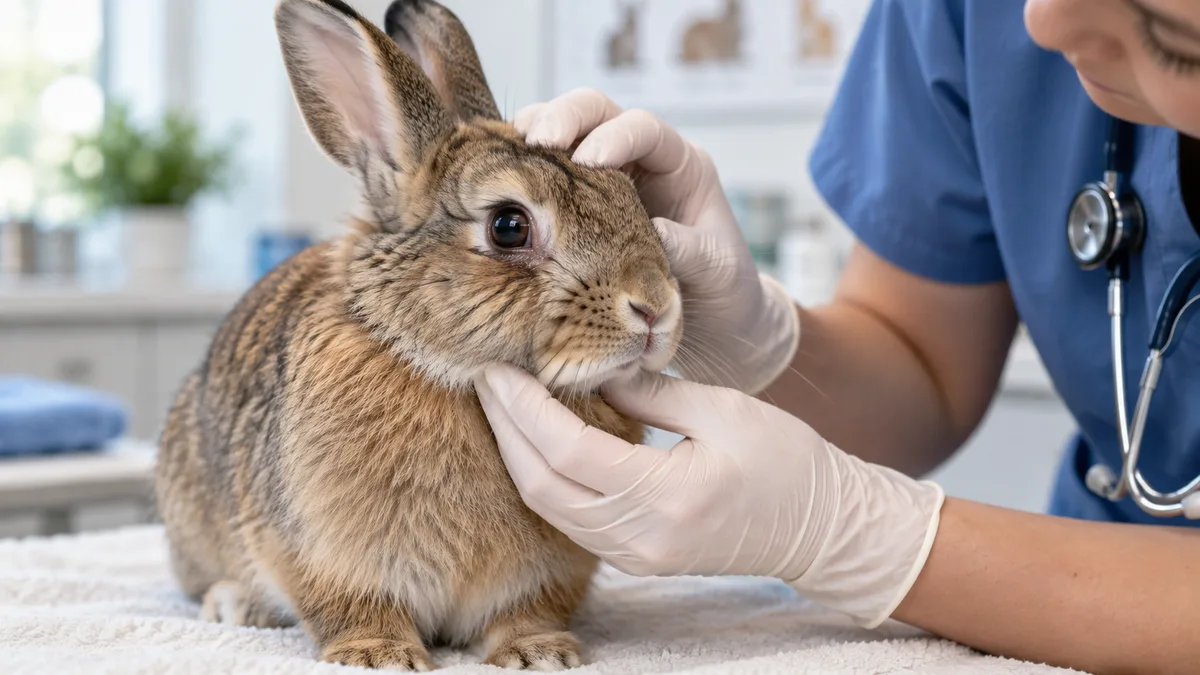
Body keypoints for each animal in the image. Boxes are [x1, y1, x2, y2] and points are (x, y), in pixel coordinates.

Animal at [152, 0, 683, 670]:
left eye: (629, 194)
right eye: (509, 226)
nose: (656, 308)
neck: (444, 372)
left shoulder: (544, 576)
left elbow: (524, 612)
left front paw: (540, 651)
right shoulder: (325, 555)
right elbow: (353, 607)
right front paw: (378, 655)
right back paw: (236, 604)